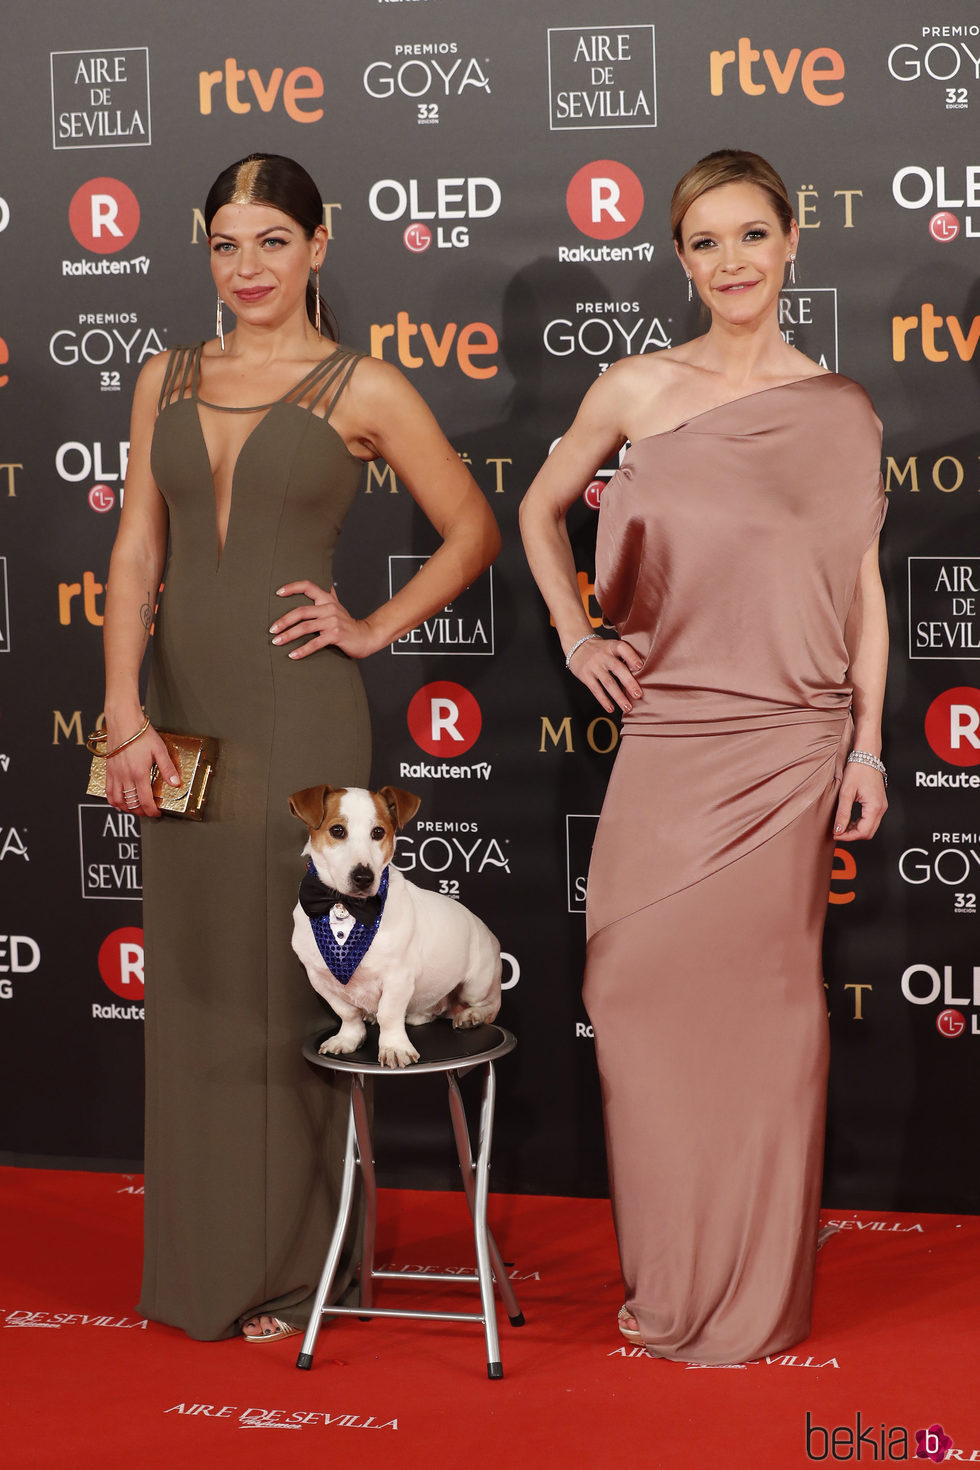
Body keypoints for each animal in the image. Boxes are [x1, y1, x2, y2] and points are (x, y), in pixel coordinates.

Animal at [289, 782, 505, 1070]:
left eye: (378, 832)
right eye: (337, 830)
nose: (364, 877)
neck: (345, 905)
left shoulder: (398, 977)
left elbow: (389, 1014)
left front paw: (393, 1047)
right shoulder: (320, 979)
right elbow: (347, 1013)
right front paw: (349, 1038)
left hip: (477, 984)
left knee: (490, 1008)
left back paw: (473, 1016)